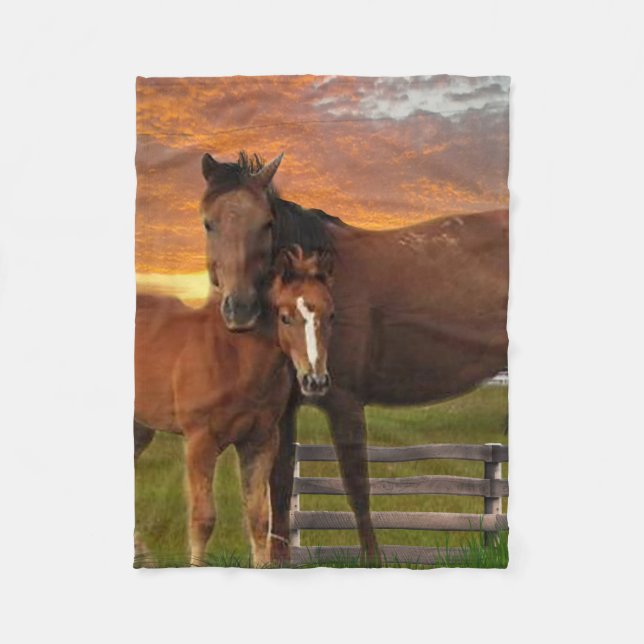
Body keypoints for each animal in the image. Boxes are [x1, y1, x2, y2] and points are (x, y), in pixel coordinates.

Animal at [134, 246, 335, 567]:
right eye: (285, 317)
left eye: (331, 315)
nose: (315, 380)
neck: (235, 358)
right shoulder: (200, 441)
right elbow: (203, 518)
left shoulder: (260, 441)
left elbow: (258, 518)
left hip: (139, 429)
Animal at [199, 151, 509, 563]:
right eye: (209, 223)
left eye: (266, 224)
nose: (240, 309)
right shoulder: (285, 410)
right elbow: (279, 486)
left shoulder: (343, 401)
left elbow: (357, 486)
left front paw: (373, 561)